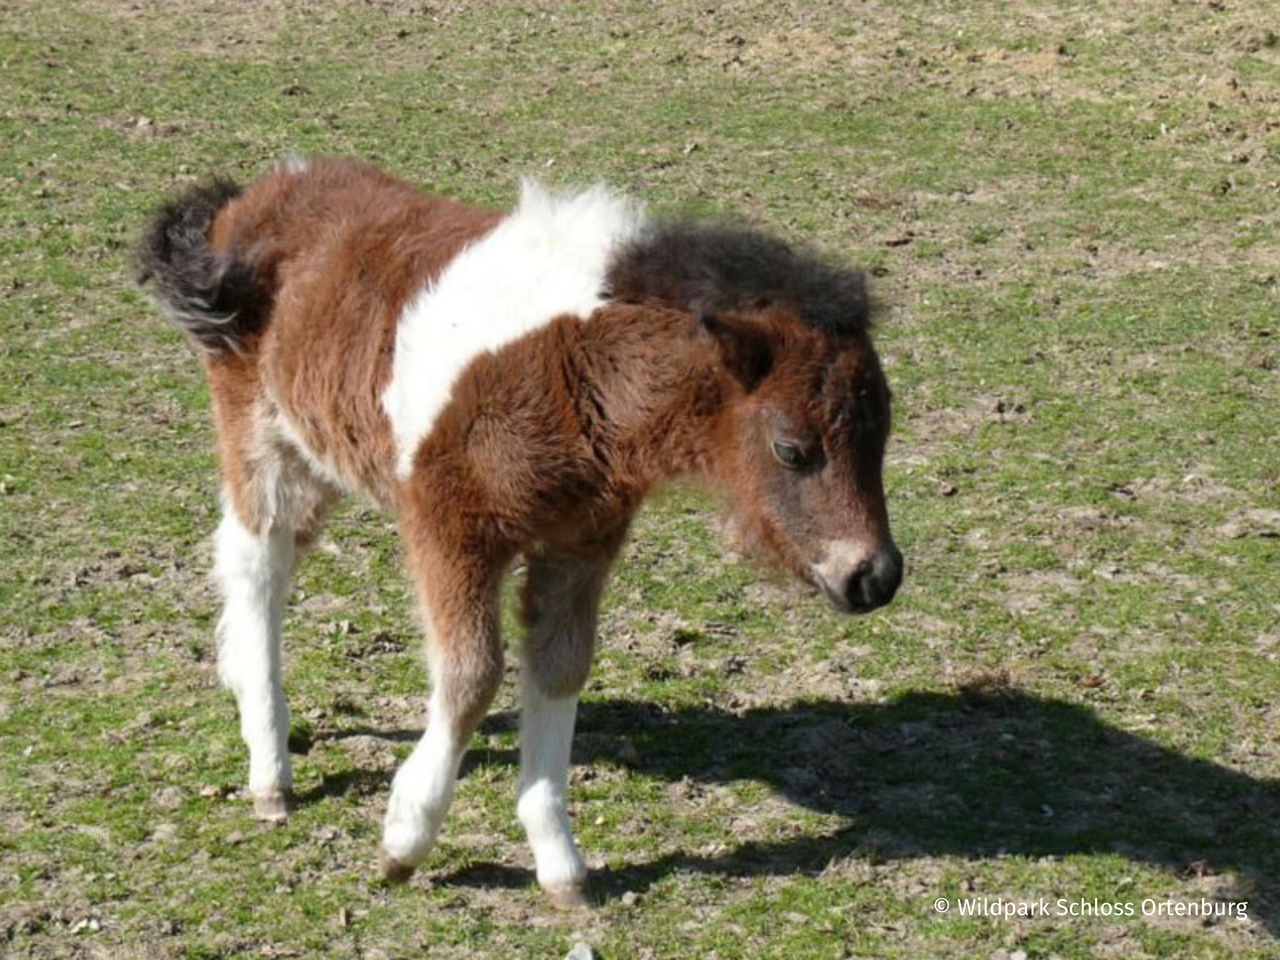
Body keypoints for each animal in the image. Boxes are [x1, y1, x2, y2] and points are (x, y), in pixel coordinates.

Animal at [137, 158, 901, 911]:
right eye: (792, 449)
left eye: (882, 437)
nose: (874, 576)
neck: (572, 366)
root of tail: (251, 195)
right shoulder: (449, 528)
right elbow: (471, 675)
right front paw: (404, 838)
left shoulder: (580, 542)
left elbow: (560, 668)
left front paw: (559, 861)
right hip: (262, 436)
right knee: (257, 564)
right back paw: (269, 768)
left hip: (320, 447)